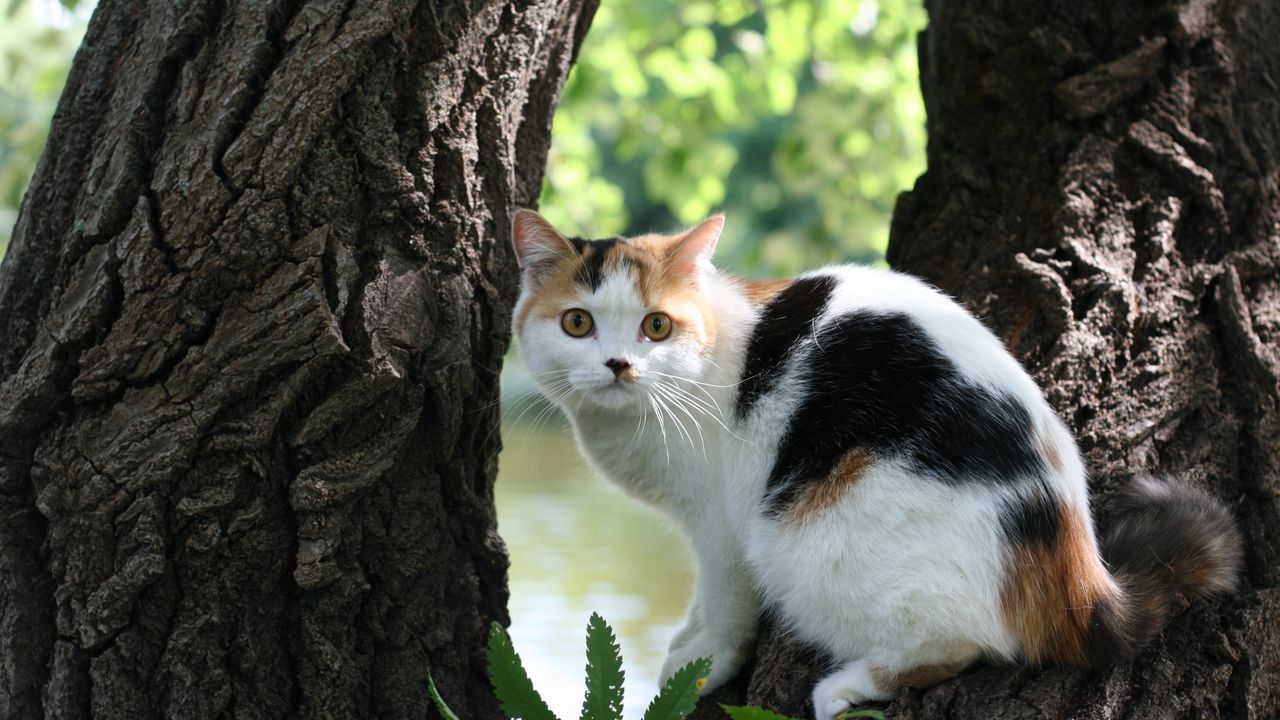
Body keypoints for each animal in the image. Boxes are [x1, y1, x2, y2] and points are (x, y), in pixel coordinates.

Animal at [506, 208, 1239, 717]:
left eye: (656, 327)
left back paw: (847, 687)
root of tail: (1077, 575)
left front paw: (705, 659)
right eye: (577, 323)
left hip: (803, 538)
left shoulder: (721, 525)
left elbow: (724, 600)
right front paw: (685, 633)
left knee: (960, 644)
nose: (618, 364)